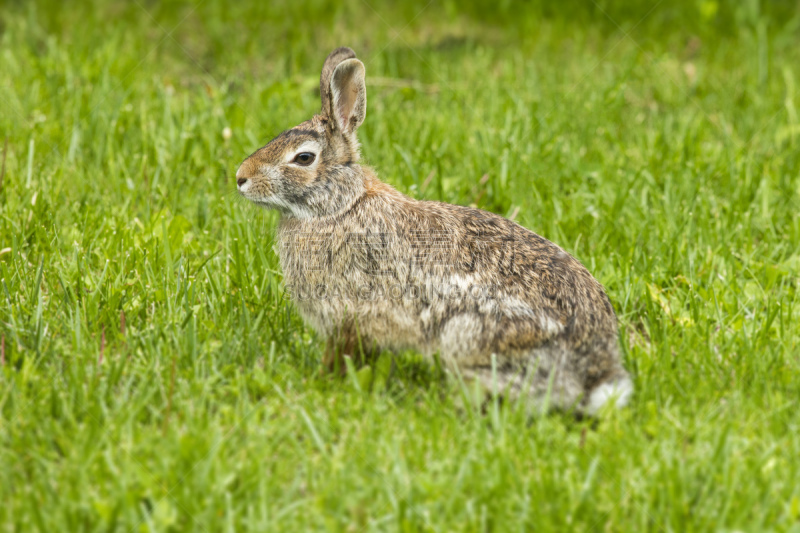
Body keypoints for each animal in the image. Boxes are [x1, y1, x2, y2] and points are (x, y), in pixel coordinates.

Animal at [234, 47, 636, 414]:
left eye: (303, 158)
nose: (240, 177)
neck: (339, 206)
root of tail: (593, 373)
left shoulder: (347, 315)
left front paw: (323, 380)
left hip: (468, 334)